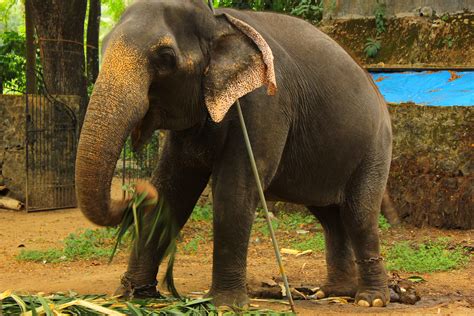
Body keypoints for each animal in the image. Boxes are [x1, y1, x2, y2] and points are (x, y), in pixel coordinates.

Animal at [75, 0, 392, 308]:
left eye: (165, 57)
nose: (138, 191)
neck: (217, 21)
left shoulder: (264, 103)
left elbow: (235, 189)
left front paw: (225, 305)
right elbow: (172, 190)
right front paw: (131, 295)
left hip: (376, 148)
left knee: (358, 214)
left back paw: (371, 299)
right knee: (330, 217)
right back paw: (335, 292)